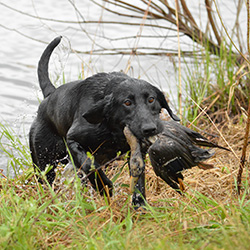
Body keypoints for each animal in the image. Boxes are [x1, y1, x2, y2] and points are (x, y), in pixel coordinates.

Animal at [28, 35, 180, 207]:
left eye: (151, 99)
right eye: (127, 102)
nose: (150, 129)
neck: (111, 129)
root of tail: (49, 96)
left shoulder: (136, 152)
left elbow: (139, 179)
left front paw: (140, 204)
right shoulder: (72, 140)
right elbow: (89, 165)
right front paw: (104, 186)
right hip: (44, 162)